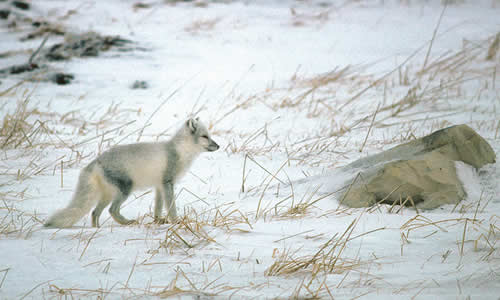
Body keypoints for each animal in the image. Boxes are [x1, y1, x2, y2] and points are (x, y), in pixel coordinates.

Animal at [44, 117, 220, 227]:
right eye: (205, 136)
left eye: (210, 136)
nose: (218, 146)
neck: (181, 152)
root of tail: (96, 161)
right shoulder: (167, 183)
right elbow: (171, 207)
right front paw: (176, 222)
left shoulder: (159, 186)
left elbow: (158, 207)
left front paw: (158, 221)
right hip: (125, 189)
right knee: (112, 210)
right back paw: (127, 222)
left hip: (108, 194)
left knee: (95, 213)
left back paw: (97, 230)